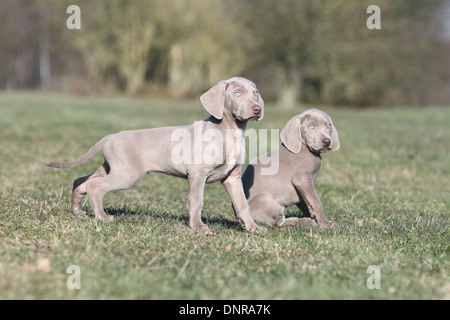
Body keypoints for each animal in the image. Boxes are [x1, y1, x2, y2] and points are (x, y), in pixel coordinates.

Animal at [44, 77, 264, 232]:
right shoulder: (198, 173)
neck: (230, 130)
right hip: (126, 174)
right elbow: (196, 201)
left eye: (255, 94)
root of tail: (108, 138)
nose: (257, 109)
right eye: (237, 94)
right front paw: (197, 226)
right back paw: (102, 217)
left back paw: (78, 211)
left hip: (112, 167)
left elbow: (242, 204)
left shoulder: (232, 178)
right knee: (94, 186)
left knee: (81, 181)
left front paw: (253, 227)